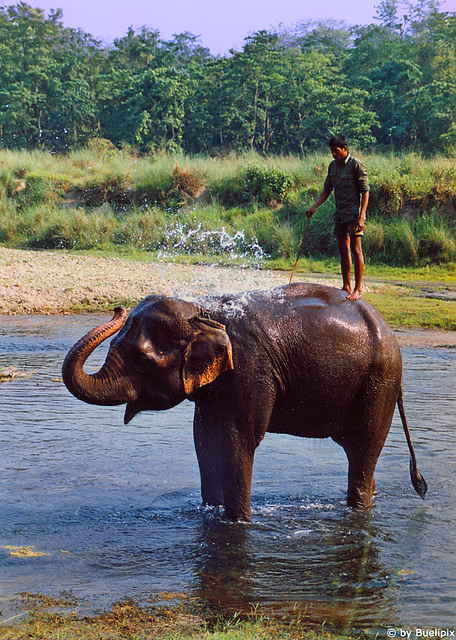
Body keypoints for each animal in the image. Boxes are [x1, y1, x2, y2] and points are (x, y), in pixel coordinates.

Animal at [62, 284, 426, 520]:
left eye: (141, 359)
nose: (117, 308)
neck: (202, 312)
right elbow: (205, 437)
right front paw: (211, 512)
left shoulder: (251, 367)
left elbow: (238, 438)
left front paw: (238, 522)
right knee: (360, 456)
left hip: (379, 384)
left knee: (364, 450)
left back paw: (358, 510)